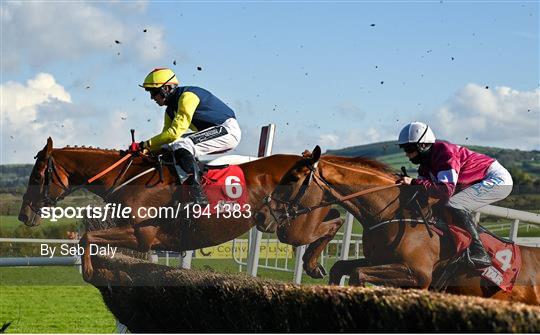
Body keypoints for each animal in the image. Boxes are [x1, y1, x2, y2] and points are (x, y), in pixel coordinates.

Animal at [19, 138, 336, 282]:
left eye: (37, 175)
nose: (24, 214)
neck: (129, 177)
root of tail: (311, 161)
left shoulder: (143, 236)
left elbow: (87, 237)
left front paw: (88, 271)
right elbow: (89, 238)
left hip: (292, 226)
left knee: (334, 224)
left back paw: (313, 264)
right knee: (334, 219)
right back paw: (315, 263)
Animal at [256, 146, 540, 306]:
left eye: (293, 178)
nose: (261, 216)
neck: (391, 212)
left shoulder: (418, 274)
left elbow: (358, 275)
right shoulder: (379, 260)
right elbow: (341, 267)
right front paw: (314, 265)